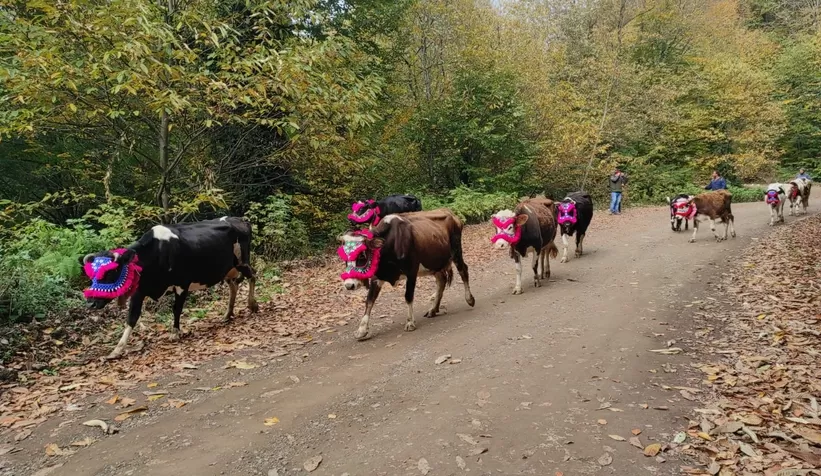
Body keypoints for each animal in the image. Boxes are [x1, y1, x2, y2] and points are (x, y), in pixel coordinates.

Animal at [80, 218, 258, 358]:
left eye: (111, 272)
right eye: (92, 275)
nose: (90, 302)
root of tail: (241, 220)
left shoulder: (182, 284)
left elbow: (176, 309)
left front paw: (175, 333)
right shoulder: (139, 291)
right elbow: (131, 318)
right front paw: (117, 350)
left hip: (242, 262)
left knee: (253, 276)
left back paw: (252, 305)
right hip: (227, 269)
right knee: (234, 286)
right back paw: (227, 314)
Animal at [336, 210, 474, 340]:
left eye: (362, 255)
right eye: (344, 257)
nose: (349, 285)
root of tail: (451, 214)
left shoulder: (411, 271)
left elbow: (408, 296)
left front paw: (410, 322)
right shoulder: (377, 277)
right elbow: (369, 301)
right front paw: (361, 330)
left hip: (456, 252)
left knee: (463, 271)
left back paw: (470, 299)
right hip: (435, 264)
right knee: (442, 280)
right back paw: (433, 310)